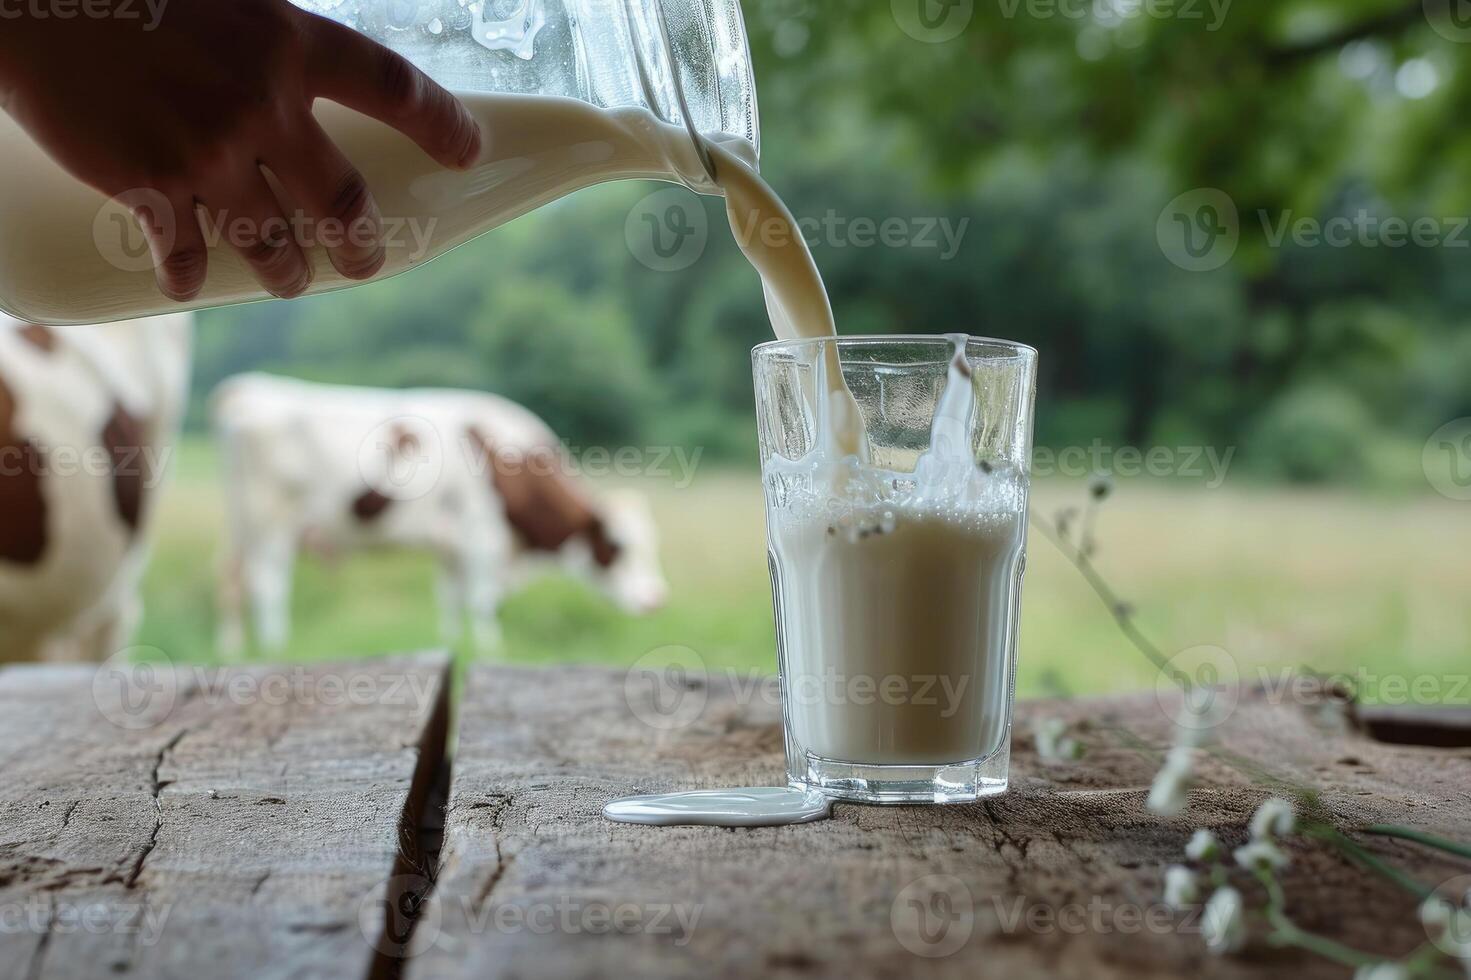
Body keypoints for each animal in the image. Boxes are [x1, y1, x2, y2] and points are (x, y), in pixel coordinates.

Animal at [210, 373, 670, 656]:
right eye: (617, 546)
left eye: (653, 544)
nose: (655, 599)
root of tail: (248, 391)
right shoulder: (482, 535)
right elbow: (483, 602)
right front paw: (491, 650)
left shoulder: (452, 545)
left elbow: (451, 600)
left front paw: (453, 642)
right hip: (271, 521)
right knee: (268, 583)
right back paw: (276, 647)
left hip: (242, 523)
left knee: (234, 580)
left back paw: (235, 648)